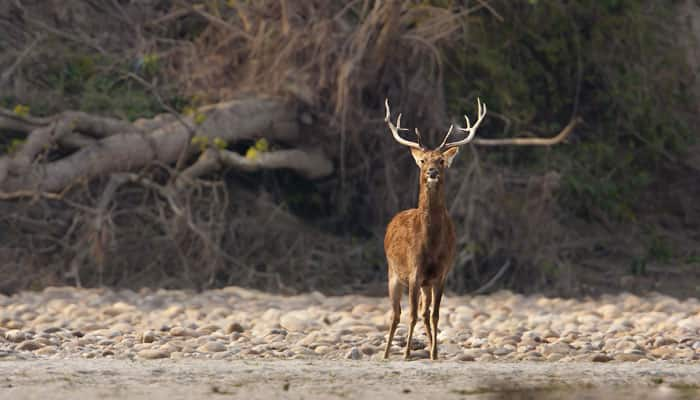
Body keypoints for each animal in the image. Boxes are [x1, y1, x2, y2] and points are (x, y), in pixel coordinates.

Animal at [382, 98, 580, 360]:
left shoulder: (441, 273)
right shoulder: (414, 271)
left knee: (422, 313)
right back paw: (386, 353)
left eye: (441, 161)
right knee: (396, 314)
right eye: (423, 160)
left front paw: (434, 354)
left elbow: (434, 315)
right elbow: (412, 315)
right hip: (393, 272)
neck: (430, 243)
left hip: (424, 282)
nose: (432, 172)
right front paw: (406, 354)